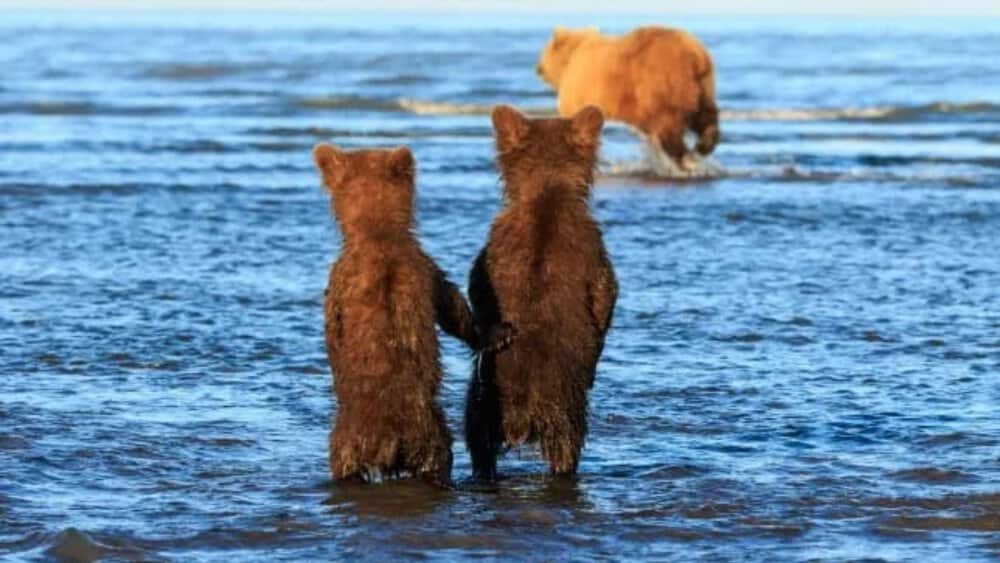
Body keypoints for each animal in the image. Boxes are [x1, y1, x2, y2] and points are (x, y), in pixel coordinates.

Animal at [314, 143, 488, 487]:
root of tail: (389, 438)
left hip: (361, 433)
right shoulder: (414, 266)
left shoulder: (345, 276)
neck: (376, 233)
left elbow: (451, 306)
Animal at [464, 105, 618, 480]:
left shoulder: (494, 249)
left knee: (478, 444)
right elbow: (606, 295)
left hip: (482, 402)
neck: (547, 190)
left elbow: (477, 286)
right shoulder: (592, 250)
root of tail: (520, 413)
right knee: (567, 446)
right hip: (562, 405)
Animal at [536, 25, 719, 168]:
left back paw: (683, 158)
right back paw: (703, 145)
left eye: (543, 53)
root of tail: (695, 54)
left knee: (669, 125)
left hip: (662, 82)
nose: (538, 68)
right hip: (702, 86)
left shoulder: (578, 90)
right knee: (705, 116)